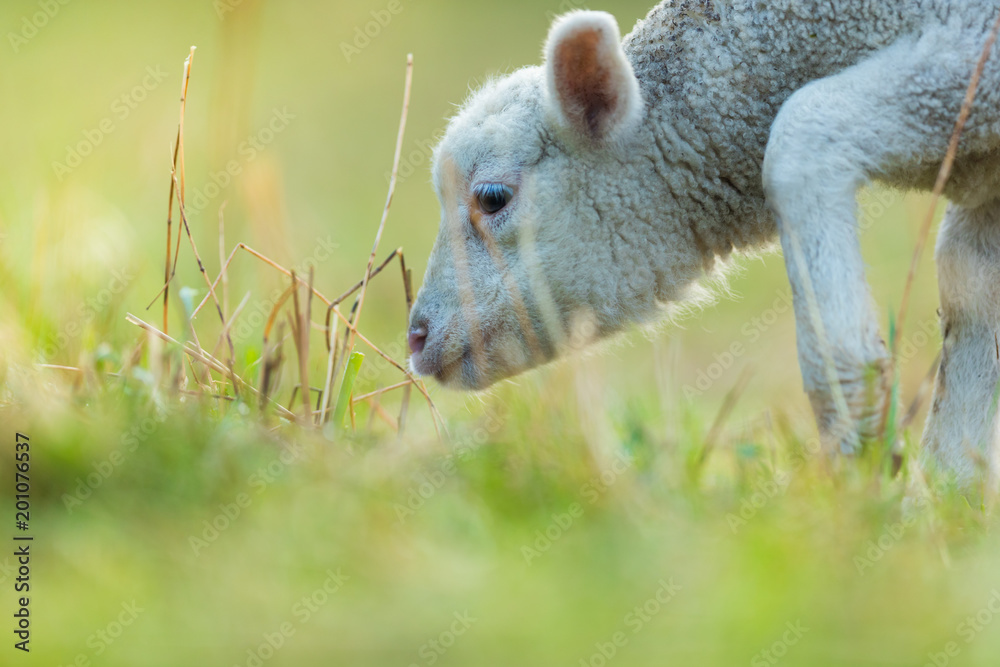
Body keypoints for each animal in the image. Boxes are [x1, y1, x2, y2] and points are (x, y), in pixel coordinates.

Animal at [404, 0, 1000, 490]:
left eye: (492, 198)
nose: (416, 336)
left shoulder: (969, 61)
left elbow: (803, 140)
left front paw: (865, 470)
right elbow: (971, 286)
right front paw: (946, 501)